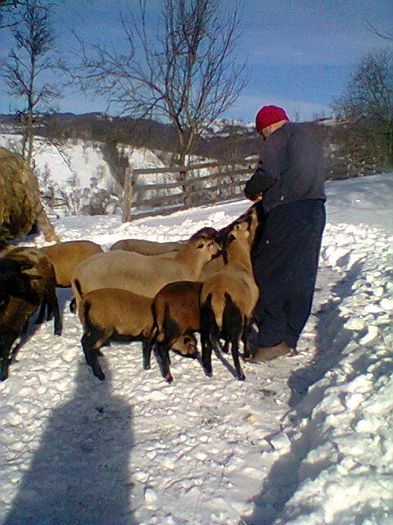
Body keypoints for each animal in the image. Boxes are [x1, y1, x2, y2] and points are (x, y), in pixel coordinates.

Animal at [0, 248, 61, 378]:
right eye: (5, 278)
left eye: (19, 273)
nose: (33, 295)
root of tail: (34, 249)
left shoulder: (13, 324)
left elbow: (4, 350)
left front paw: (3, 375)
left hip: (49, 284)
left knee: (55, 304)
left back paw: (57, 330)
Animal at [199, 221, 260, 380]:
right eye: (240, 226)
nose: (249, 219)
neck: (239, 262)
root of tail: (217, 295)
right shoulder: (248, 312)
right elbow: (245, 334)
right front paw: (246, 353)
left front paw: (224, 348)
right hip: (235, 317)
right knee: (234, 348)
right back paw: (241, 374)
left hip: (206, 320)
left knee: (207, 345)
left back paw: (209, 371)